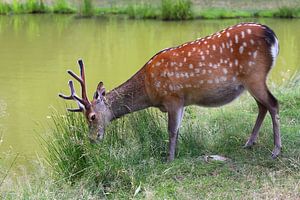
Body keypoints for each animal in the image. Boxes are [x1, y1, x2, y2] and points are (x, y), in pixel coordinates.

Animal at [59, 22, 282, 162]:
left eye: (92, 117)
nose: (93, 139)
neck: (149, 88)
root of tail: (272, 36)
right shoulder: (181, 101)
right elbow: (179, 129)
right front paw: (176, 154)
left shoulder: (173, 97)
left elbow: (172, 130)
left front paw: (169, 158)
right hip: (250, 82)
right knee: (262, 106)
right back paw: (249, 143)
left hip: (255, 75)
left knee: (273, 103)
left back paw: (275, 150)